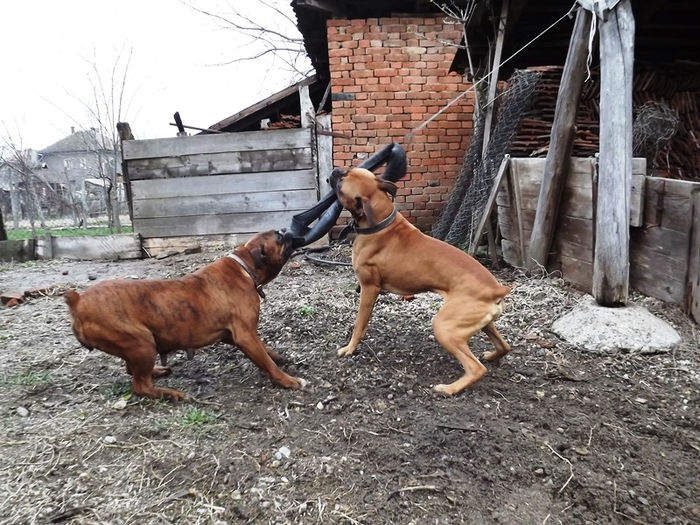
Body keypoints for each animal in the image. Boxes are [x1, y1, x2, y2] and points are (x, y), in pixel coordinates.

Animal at [65, 230, 304, 402]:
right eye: (279, 238)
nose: (289, 231)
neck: (244, 266)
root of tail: (78, 301)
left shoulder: (231, 335)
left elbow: (264, 350)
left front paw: (277, 356)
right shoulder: (244, 336)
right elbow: (266, 362)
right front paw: (287, 380)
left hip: (136, 347)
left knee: (131, 369)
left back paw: (157, 372)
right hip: (142, 343)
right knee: (140, 386)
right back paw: (171, 394)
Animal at [330, 167, 512, 392]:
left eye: (342, 181)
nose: (335, 170)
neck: (380, 224)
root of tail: (496, 290)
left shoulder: (369, 289)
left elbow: (359, 325)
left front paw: (350, 348)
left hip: (445, 328)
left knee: (475, 368)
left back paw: (449, 389)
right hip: (482, 324)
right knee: (504, 346)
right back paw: (492, 356)